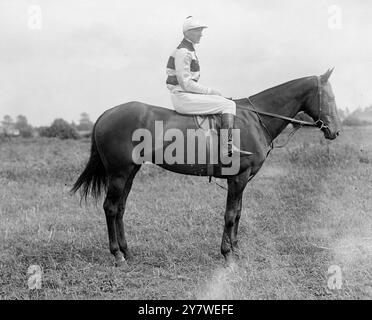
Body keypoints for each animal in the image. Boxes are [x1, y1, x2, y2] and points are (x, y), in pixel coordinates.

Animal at [71, 68, 342, 268]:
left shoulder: (242, 180)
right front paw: (227, 255)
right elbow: (230, 215)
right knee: (110, 208)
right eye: (330, 98)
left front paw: (236, 250)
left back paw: (127, 252)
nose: (335, 131)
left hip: (130, 172)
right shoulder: (238, 178)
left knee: (120, 209)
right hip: (118, 173)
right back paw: (117, 255)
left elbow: (238, 213)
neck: (254, 119)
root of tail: (106, 114)